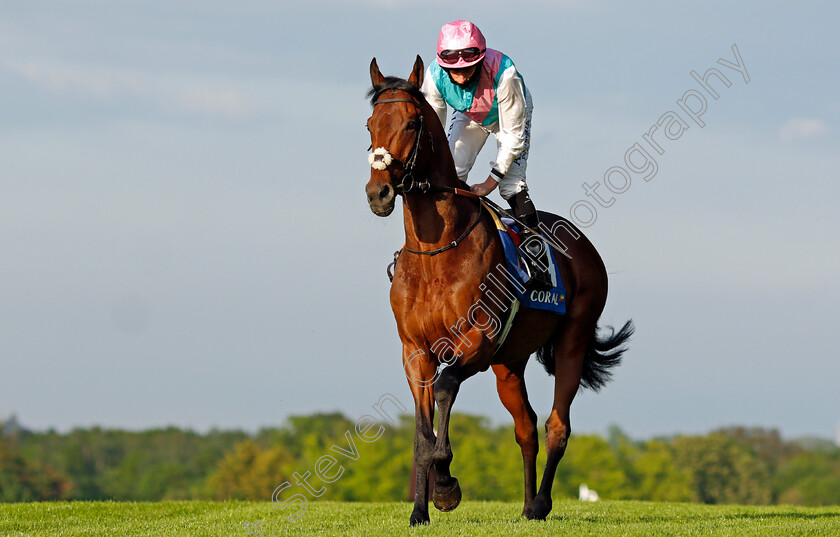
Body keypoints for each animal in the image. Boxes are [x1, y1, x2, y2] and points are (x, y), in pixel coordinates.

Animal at [364, 57, 632, 524]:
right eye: (369, 125)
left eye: (412, 123)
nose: (378, 193)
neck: (436, 251)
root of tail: (585, 247)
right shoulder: (415, 350)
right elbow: (421, 432)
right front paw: (420, 510)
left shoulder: (479, 339)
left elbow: (447, 387)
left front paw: (446, 486)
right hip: (510, 362)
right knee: (526, 427)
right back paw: (525, 504)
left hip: (572, 340)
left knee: (557, 425)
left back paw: (540, 503)